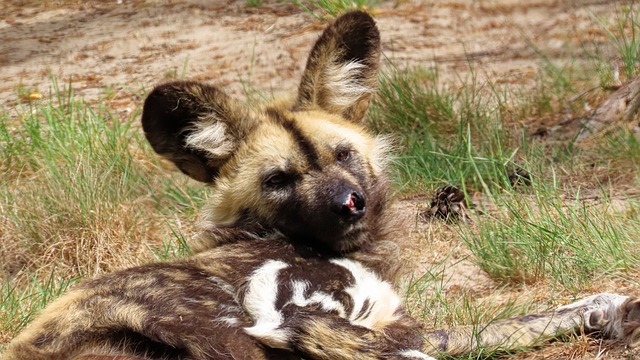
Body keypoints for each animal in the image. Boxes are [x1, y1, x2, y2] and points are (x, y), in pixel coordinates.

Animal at [3, 9, 640, 360]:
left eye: (342, 154)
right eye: (279, 180)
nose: (348, 204)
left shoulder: (402, 325)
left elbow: (502, 328)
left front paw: (602, 312)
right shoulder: (291, 318)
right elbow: (419, 350)